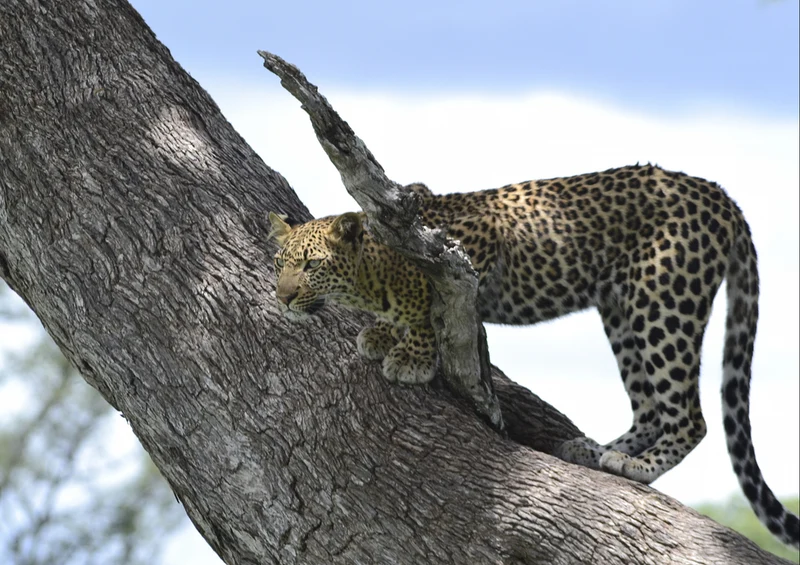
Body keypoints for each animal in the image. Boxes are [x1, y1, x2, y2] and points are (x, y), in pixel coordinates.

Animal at [269, 164, 799, 548]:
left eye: (311, 265)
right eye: (279, 264)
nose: (283, 297)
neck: (374, 272)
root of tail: (720, 195)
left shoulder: (475, 242)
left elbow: (432, 301)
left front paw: (412, 354)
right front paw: (382, 332)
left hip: (663, 300)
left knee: (690, 415)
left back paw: (639, 466)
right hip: (620, 309)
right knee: (649, 407)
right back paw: (594, 451)